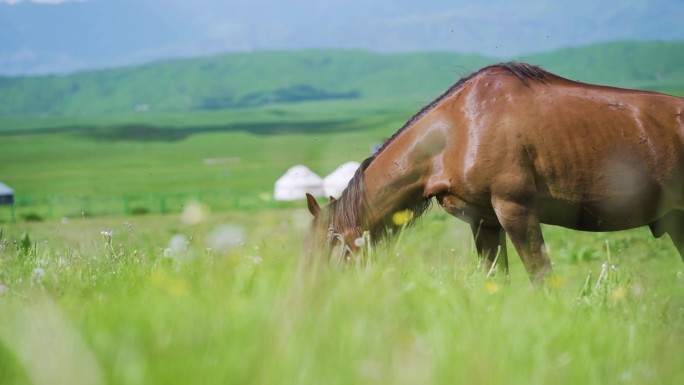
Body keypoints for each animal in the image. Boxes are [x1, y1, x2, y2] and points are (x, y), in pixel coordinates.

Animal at [306, 61, 684, 284]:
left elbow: (540, 277)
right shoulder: (483, 222)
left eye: (328, 251)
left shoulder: (516, 211)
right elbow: (494, 281)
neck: (458, 130)